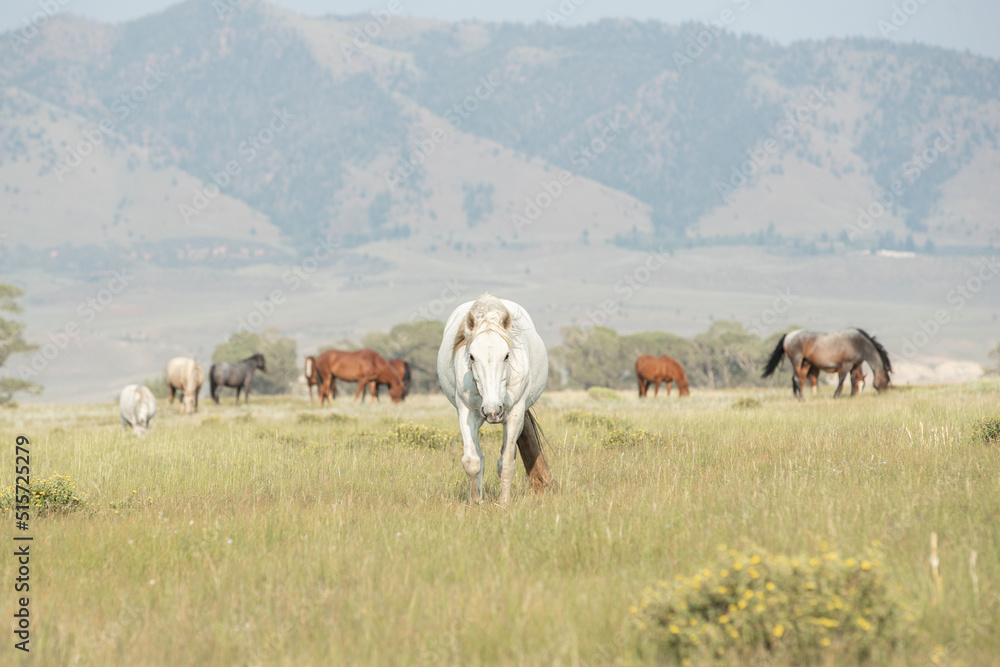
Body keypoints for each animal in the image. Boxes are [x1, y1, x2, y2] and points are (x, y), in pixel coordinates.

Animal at [437, 294, 553, 506]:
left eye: (507, 355)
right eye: (472, 356)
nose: (492, 411)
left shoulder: (515, 414)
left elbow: (506, 463)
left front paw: (504, 503)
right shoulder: (467, 413)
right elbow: (472, 461)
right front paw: (476, 501)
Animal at [762, 328, 891, 399]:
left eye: (863, 386)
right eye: (887, 380)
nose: (885, 392)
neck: (860, 344)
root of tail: (788, 335)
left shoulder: (854, 364)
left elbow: (853, 379)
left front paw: (852, 395)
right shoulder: (847, 363)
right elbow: (842, 379)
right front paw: (836, 395)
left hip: (805, 362)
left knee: (797, 378)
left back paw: (796, 397)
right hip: (796, 359)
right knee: (797, 378)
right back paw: (801, 398)